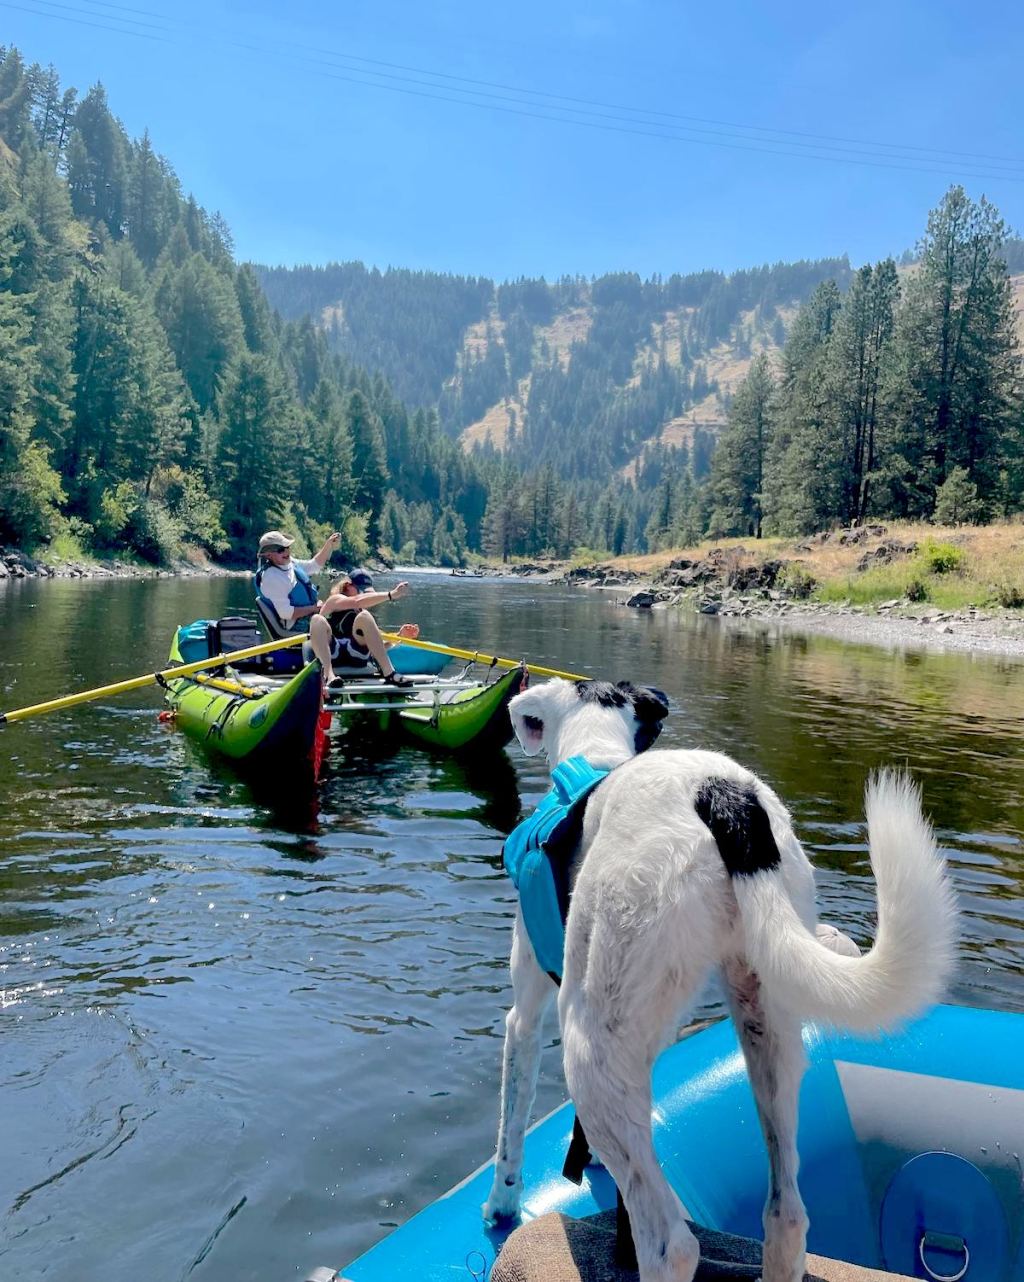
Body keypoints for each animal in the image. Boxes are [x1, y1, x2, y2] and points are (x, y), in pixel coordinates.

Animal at [484, 682, 958, 1282]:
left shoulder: (526, 1016)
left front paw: (500, 1205)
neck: (596, 757)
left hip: (589, 1042)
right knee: (786, 1214)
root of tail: (725, 800)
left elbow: (510, 1123)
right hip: (768, 1021)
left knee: (672, 1243)